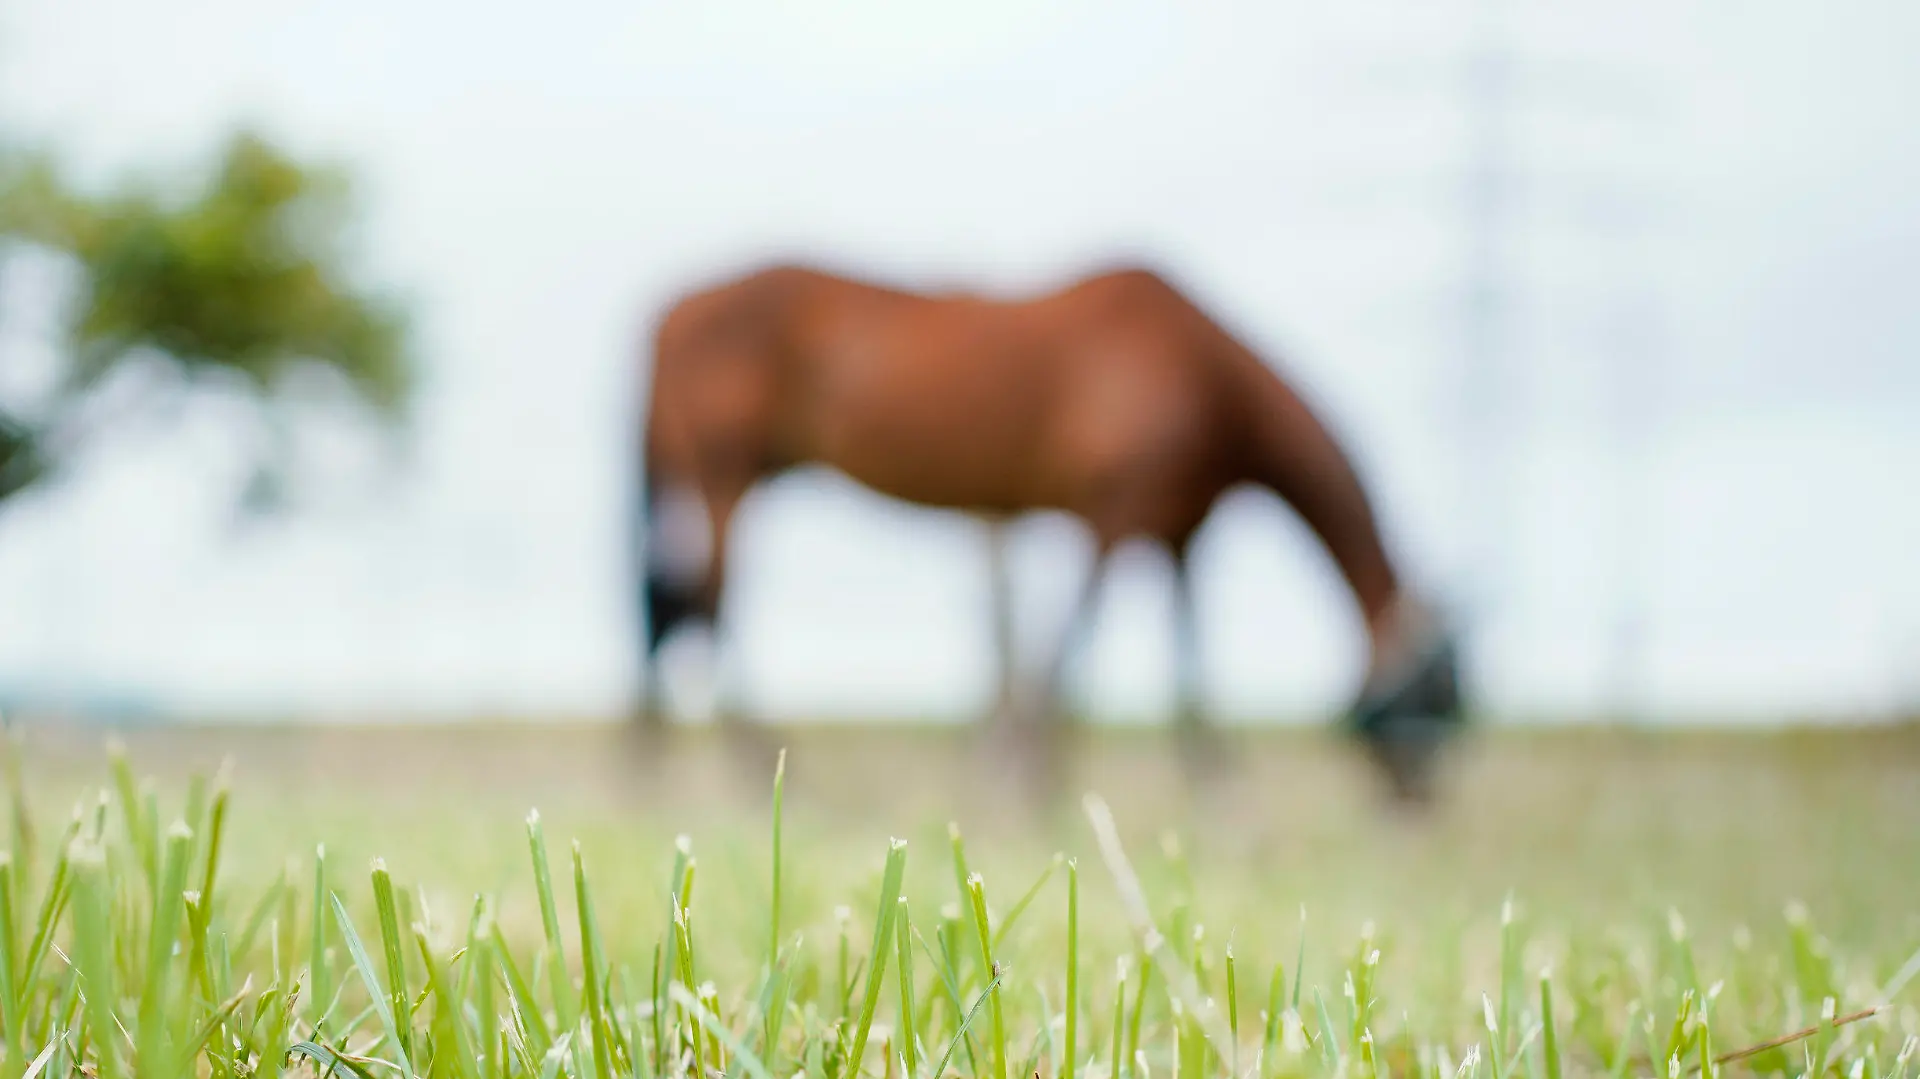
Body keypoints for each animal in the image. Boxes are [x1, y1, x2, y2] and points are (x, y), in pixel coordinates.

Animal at [632, 261, 1465, 800]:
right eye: (1441, 689)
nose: (1422, 799)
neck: (1206, 375)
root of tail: (670, 306)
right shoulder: (1114, 509)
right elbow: (1071, 643)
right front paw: (1030, 778)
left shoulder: (1180, 527)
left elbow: (1187, 659)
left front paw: (1216, 787)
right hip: (724, 472)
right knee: (706, 601)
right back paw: (761, 771)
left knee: (672, 606)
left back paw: (652, 766)